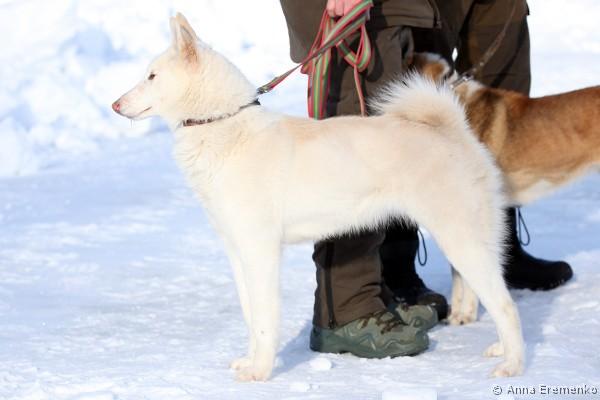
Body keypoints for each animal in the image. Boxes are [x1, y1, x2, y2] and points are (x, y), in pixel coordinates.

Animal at [112, 13, 524, 381]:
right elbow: (250, 317)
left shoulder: (261, 252)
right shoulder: (237, 251)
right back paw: (501, 348)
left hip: (461, 239)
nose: (115, 105)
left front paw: (260, 372)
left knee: (506, 305)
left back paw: (512, 365)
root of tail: (452, 129)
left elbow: (265, 321)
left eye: (151, 76)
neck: (222, 123)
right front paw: (249, 361)